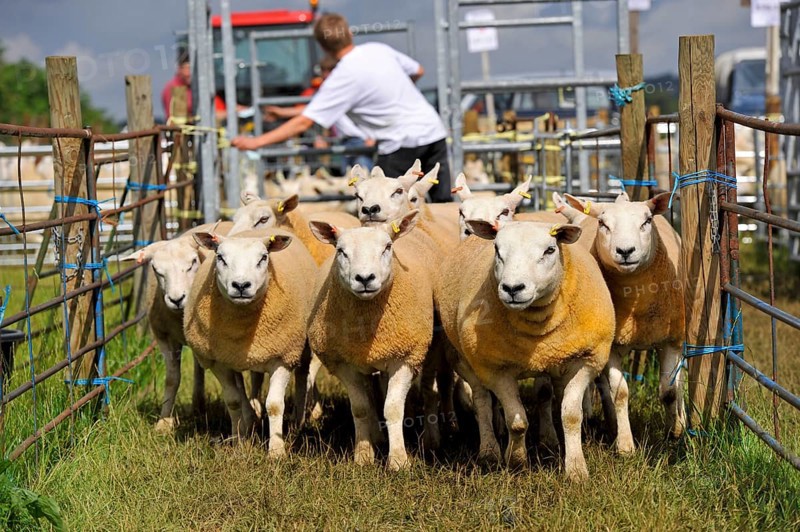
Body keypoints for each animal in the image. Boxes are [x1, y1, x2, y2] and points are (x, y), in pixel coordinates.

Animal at [121, 221, 232, 433]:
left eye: (192, 263)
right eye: (156, 269)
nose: (176, 299)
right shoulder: (164, 337)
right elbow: (172, 379)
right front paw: (164, 422)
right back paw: (198, 404)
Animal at [184, 228, 316, 456]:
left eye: (263, 258)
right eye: (220, 257)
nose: (241, 285)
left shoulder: (283, 356)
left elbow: (274, 404)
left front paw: (276, 450)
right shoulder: (219, 362)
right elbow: (233, 401)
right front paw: (238, 442)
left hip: (300, 346)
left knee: (301, 376)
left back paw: (298, 422)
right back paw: (249, 420)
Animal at [307, 210, 435, 470]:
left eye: (387, 247)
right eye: (341, 251)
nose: (364, 278)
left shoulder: (405, 358)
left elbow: (393, 408)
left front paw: (398, 461)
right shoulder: (344, 364)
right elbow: (361, 409)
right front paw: (364, 456)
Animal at [436, 219, 616, 480]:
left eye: (550, 250)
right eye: (497, 250)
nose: (512, 288)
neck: (537, 320)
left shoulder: (586, 360)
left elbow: (570, 415)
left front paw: (576, 469)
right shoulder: (496, 369)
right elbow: (517, 421)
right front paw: (517, 461)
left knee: (548, 394)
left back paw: (550, 440)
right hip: (466, 359)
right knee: (481, 401)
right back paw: (489, 451)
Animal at [561, 192, 685, 451]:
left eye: (647, 221)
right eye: (603, 224)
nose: (625, 251)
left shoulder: (670, 340)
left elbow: (669, 390)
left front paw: (674, 432)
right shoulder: (612, 345)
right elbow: (620, 393)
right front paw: (626, 445)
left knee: (680, 380)